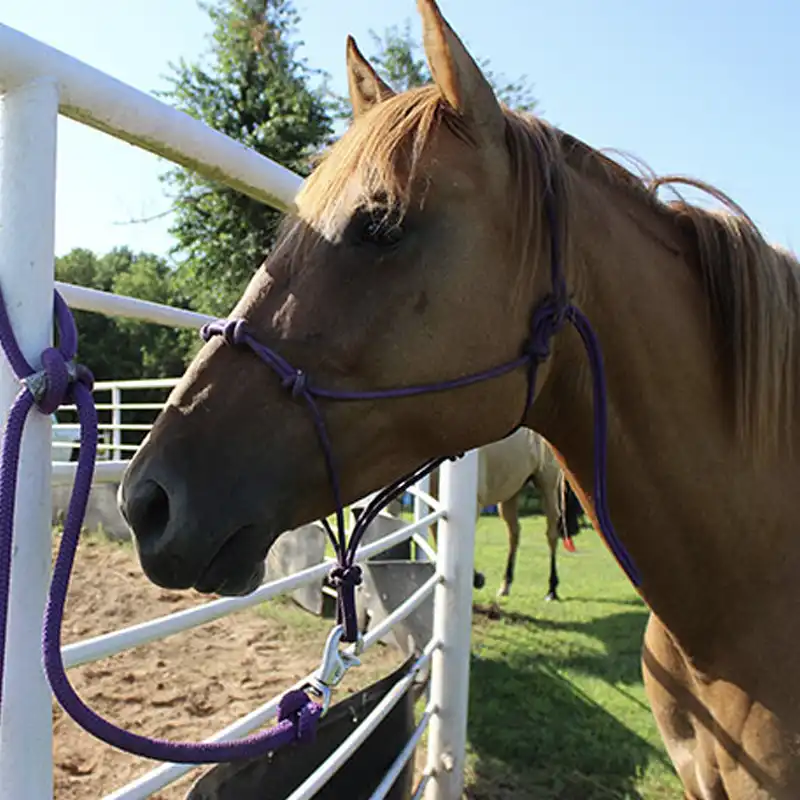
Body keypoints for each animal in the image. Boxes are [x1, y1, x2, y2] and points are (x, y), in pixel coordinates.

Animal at [426, 427, 577, 600]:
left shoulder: (474, 503)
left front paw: (476, 578)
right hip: (511, 493)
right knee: (514, 534)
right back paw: (505, 585)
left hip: (548, 485)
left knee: (551, 533)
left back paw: (551, 589)